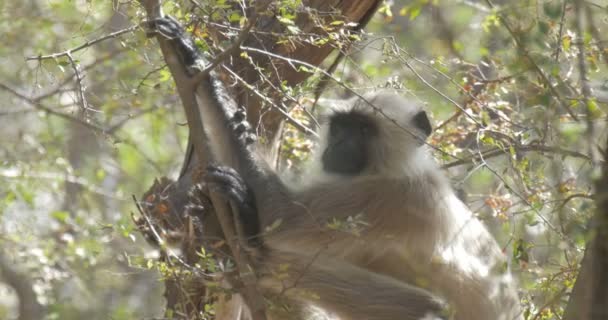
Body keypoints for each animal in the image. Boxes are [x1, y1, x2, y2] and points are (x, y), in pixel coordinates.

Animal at [150, 16, 520, 320]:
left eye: (364, 130)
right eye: (341, 127)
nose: (340, 144)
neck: (387, 169)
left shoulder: (397, 196)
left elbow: (282, 214)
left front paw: (193, 59)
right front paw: (238, 124)